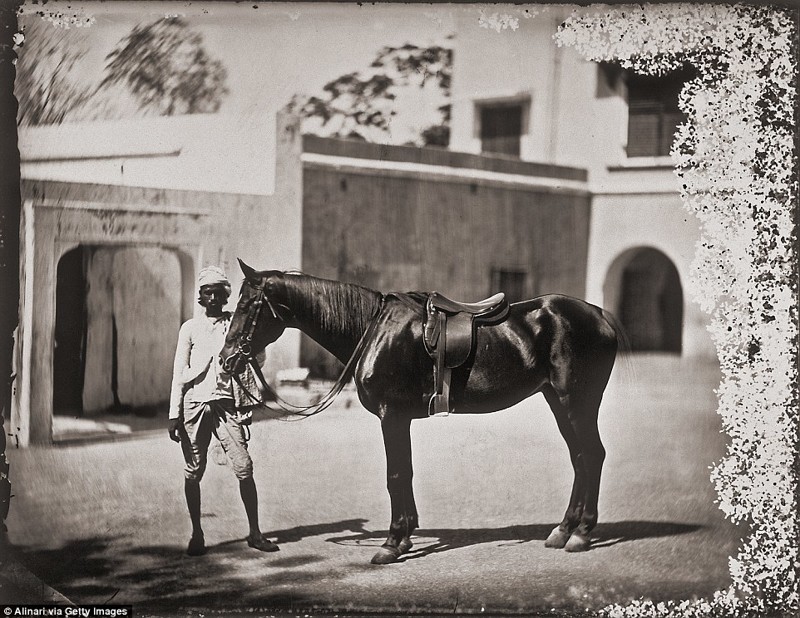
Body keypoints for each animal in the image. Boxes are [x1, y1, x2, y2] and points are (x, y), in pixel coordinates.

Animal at [219, 260, 624, 564]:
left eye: (245, 306)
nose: (225, 360)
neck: (374, 329)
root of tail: (600, 316)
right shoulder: (401, 418)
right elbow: (406, 472)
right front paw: (406, 536)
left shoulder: (392, 415)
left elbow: (395, 475)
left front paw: (391, 543)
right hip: (558, 401)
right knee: (580, 458)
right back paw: (563, 530)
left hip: (577, 402)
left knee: (593, 455)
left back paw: (582, 533)